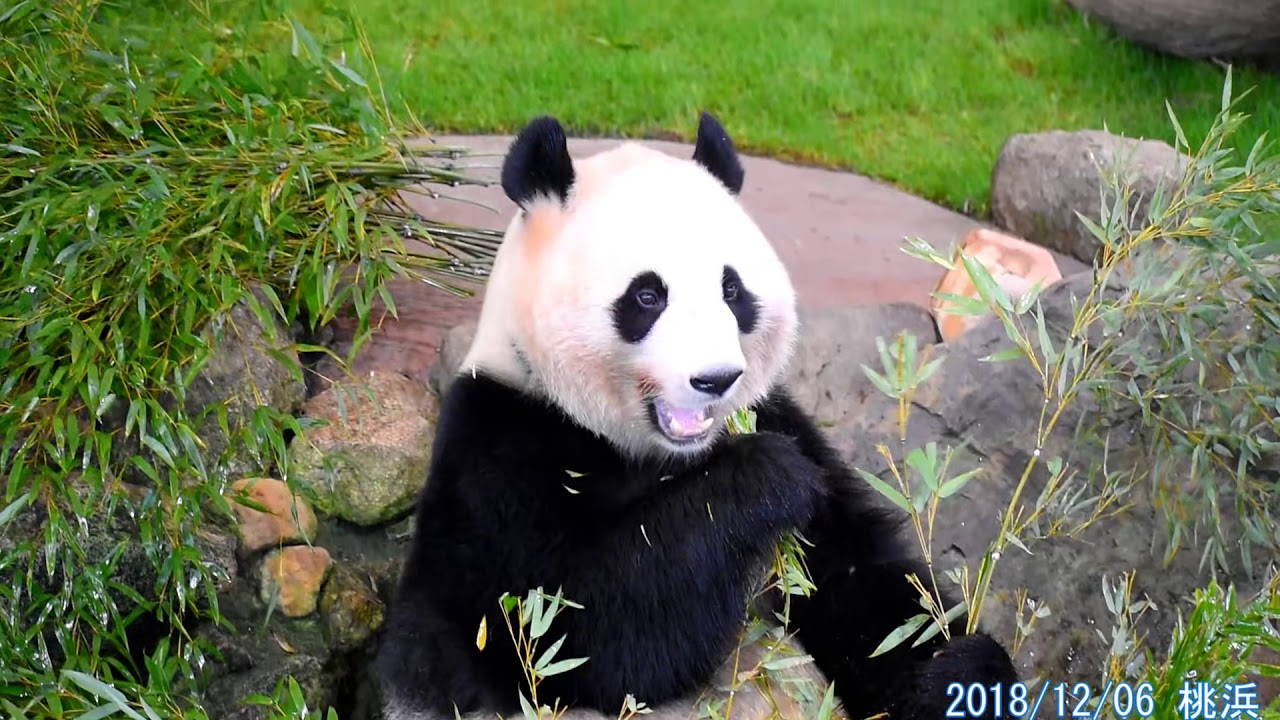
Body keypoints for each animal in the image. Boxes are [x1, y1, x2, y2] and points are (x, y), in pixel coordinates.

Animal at [376, 112, 1019, 720]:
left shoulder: (779, 415)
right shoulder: (500, 449)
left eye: (732, 290)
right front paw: (767, 479)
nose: (715, 379)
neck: (652, 451)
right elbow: (568, 634)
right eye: (646, 296)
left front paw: (964, 678)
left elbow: (864, 590)